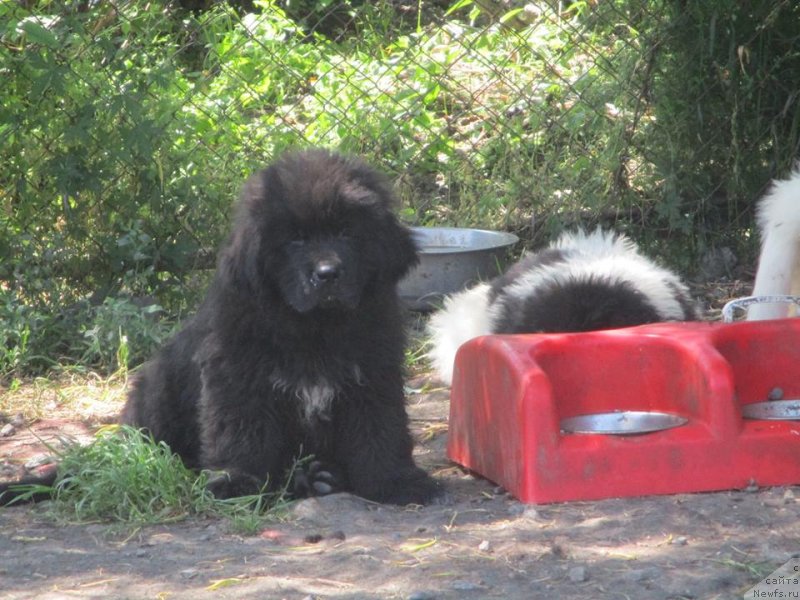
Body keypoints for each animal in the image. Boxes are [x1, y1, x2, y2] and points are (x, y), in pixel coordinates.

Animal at [0, 149, 440, 506]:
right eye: (295, 240)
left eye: (348, 232)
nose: (327, 274)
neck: (312, 328)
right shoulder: (237, 376)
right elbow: (241, 433)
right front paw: (237, 485)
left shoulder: (373, 372)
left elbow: (380, 429)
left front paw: (395, 482)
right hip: (158, 384)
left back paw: (318, 477)